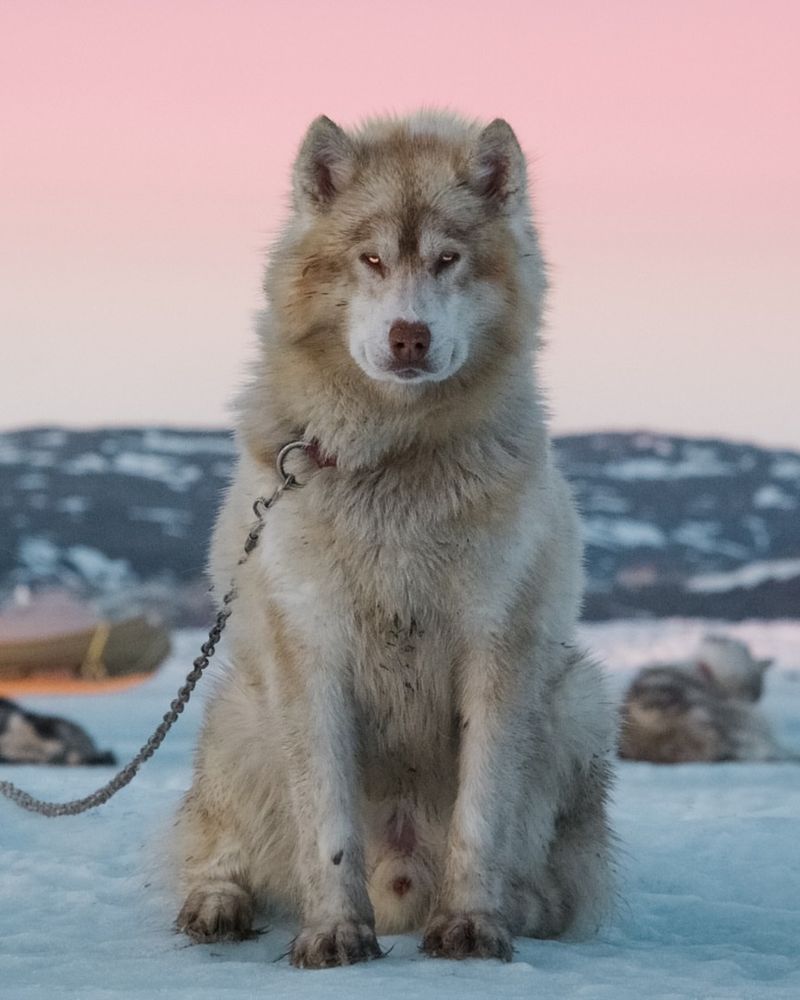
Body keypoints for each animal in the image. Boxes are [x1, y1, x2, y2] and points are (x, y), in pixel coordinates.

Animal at [172, 111, 616, 968]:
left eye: (447, 260)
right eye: (371, 259)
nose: (410, 337)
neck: (394, 458)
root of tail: (401, 882)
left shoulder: (498, 647)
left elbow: (482, 815)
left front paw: (472, 924)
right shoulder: (310, 649)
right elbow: (327, 825)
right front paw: (334, 934)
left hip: (574, 698)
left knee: (551, 881)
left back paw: (516, 906)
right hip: (239, 712)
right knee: (220, 846)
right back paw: (217, 904)